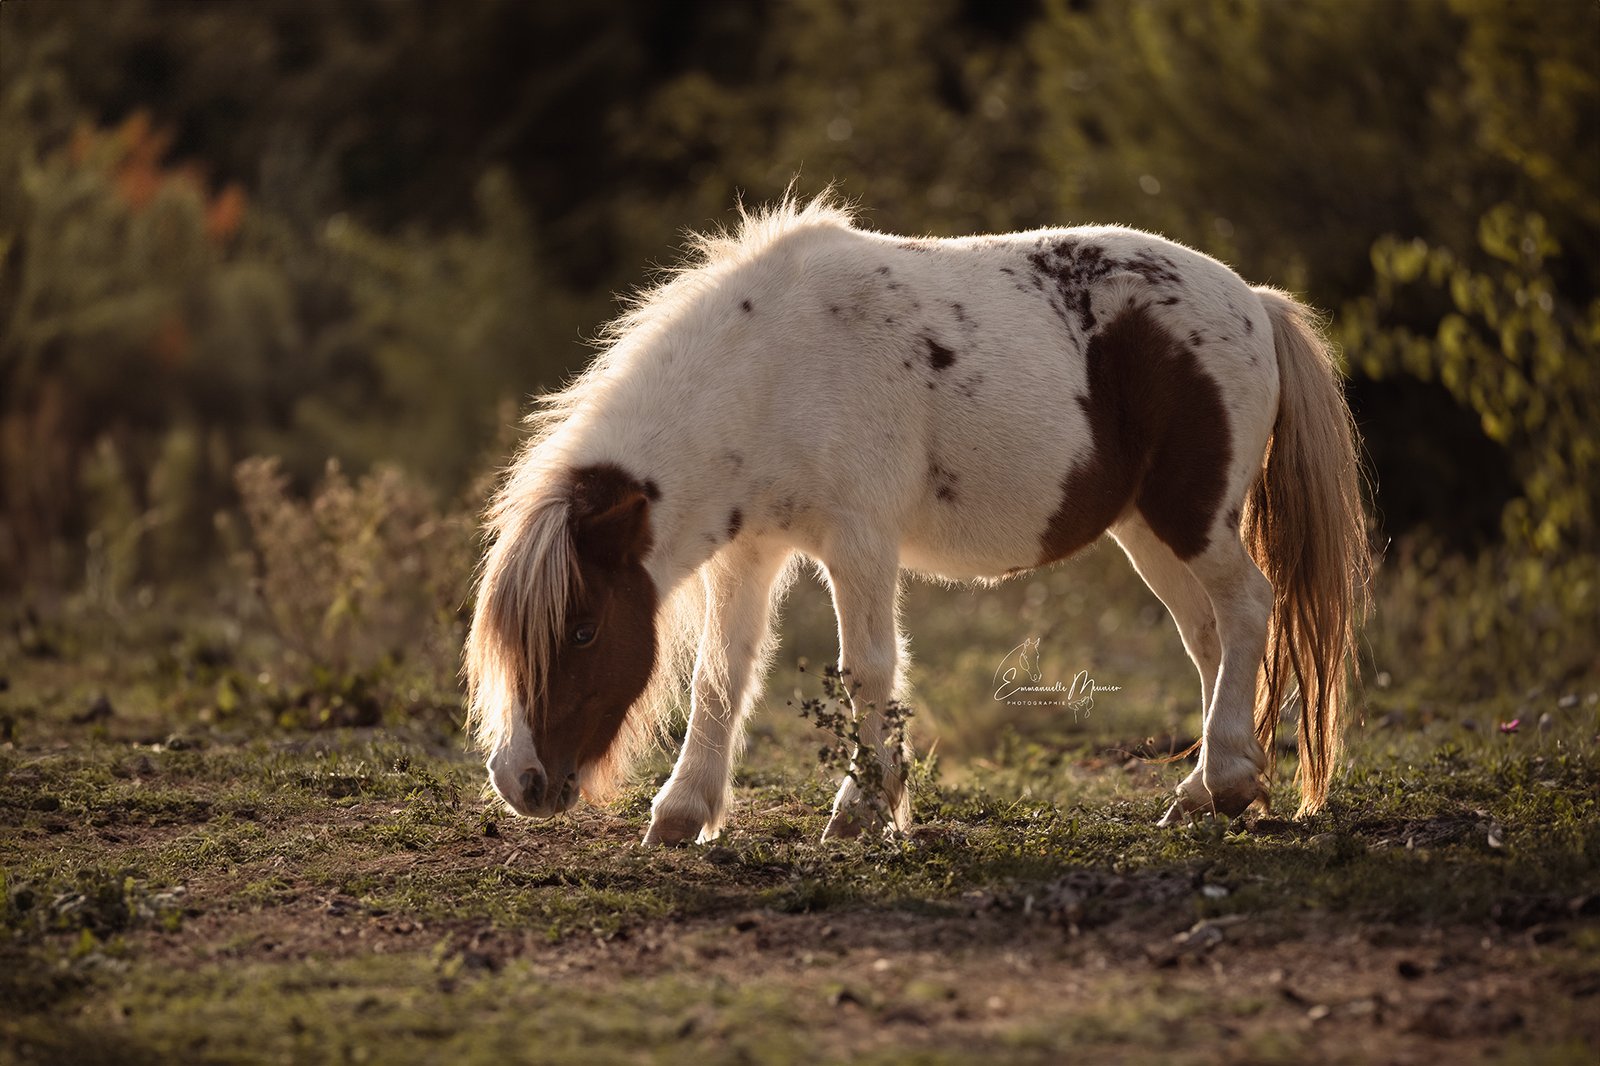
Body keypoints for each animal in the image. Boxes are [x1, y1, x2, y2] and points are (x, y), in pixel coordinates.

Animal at [460, 192, 1363, 838]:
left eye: (582, 629)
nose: (519, 781)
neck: (772, 370)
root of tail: (1255, 302)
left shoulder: (858, 544)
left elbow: (866, 670)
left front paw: (863, 808)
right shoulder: (749, 555)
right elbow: (722, 675)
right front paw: (684, 813)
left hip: (1193, 519)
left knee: (1248, 609)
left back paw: (1228, 781)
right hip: (1148, 530)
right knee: (1210, 638)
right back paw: (1203, 791)